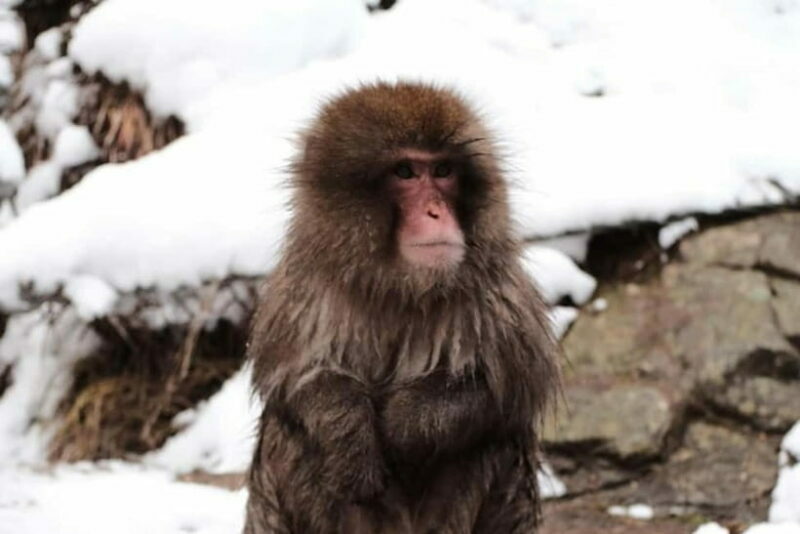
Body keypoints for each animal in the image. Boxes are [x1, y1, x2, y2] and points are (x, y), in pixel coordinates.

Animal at [243, 81, 559, 534]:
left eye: (443, 172)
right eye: (405, 172)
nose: (436, 211)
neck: (399, 285)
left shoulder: (495, 290)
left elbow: (510, 387)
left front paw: (402, 423)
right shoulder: (304, 287)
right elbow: (291, 380)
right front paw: (348, 431)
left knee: (491, 442)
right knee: (288, 434)